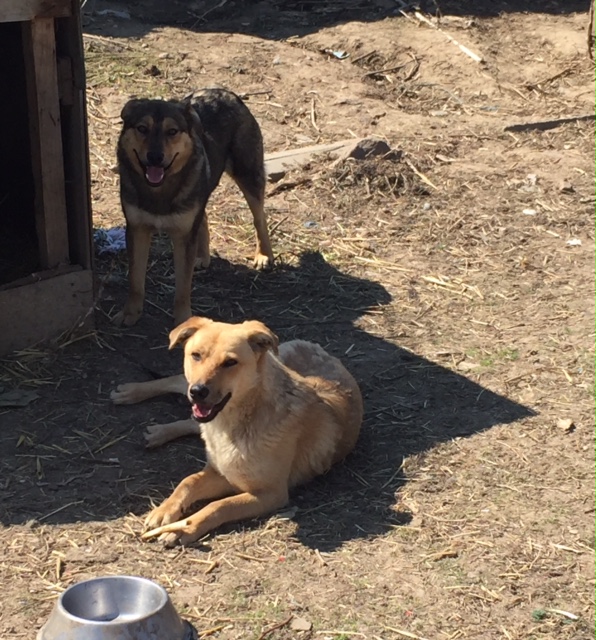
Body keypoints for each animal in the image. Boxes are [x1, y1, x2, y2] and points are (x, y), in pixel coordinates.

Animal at [112, 318, 364, 548]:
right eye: (196, 355)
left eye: (230, 362)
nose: (198, 391)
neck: (233, 425)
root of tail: (315, 346)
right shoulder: (222, 473)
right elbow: (188, 482)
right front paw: (164, 509)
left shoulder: (267, 492)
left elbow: (218, 505)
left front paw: (183, 528)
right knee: (178, 383)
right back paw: (132, 392)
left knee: (192, 420)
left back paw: (157, 431)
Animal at [113, 88, 274, 328]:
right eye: (142, 128)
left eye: (172, 131)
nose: (155, 157)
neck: (159, 190)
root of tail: (225, 92)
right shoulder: (137, 230)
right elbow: (135, 280)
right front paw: (130, 314)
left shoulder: (183, 235)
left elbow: (183, 286)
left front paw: (182, 320)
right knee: (204, 217)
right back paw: (202, 257)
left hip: (248, 174)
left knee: (259, 217)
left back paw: (264, 255)